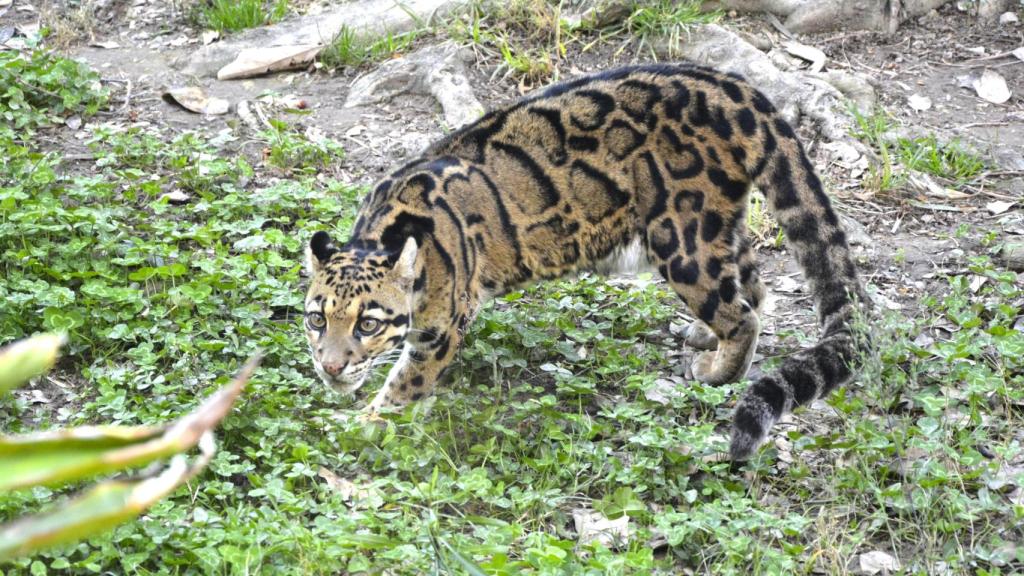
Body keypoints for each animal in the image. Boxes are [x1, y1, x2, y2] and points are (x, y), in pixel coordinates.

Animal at [301, 62, 864, 459]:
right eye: (315, 319)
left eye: (369, 324)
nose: (330, 367)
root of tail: (734, 86)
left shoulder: (440, 329)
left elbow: (403, 386)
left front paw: (361, 425)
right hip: (715, 227)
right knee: (754, 283)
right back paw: (706, 337)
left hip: (682, 238)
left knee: (741, 313)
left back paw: (716, 369)